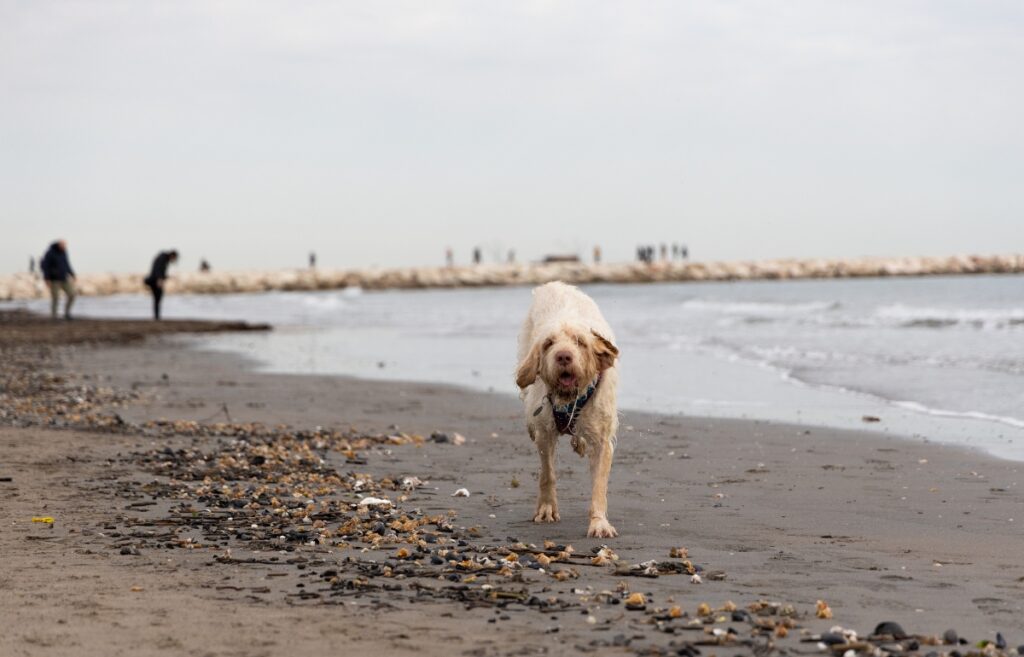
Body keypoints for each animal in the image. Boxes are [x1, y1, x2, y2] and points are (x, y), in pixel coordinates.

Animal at [516, 278, 618, 536]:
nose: (563, 356)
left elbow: (599, 486)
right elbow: (547, 473)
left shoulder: (602, 441)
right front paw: (546, 509)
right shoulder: (545, 433)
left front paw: (599, 523)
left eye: (580, 342)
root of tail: (554, 284)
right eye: (549, 343)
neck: (568, 399)